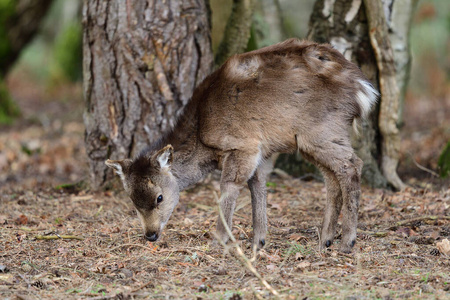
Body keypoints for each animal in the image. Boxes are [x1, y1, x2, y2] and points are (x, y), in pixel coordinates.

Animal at [106, 37, 380, 253]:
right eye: (132, 200)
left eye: (160, 197)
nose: (151, 234)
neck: (203, 135)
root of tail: (363, 88)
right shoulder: (259, 151)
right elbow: (257, 186)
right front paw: (258, 242)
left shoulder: (242, 144)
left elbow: (230, 185)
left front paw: (218, 241)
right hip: (312, 139)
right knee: (332, 177)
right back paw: (325, 240)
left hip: (322, 129)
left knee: (351, 165)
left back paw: (347, 243)